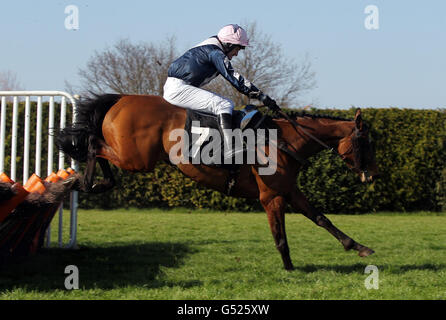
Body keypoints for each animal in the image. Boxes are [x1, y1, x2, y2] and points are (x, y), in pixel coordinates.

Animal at [55, 94, 376, 270]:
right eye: (366, 142)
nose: (371, 175)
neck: (283, 140)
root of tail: (121, 99)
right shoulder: (271, 196)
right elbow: (280, 235)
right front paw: (289, 267)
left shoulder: (288, 189)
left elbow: (321, 218)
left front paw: (359, 246)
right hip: (136, 157)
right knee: (94, 144)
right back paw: (86, 181)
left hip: (133, 156)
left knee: (97, 146)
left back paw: (95, 183)